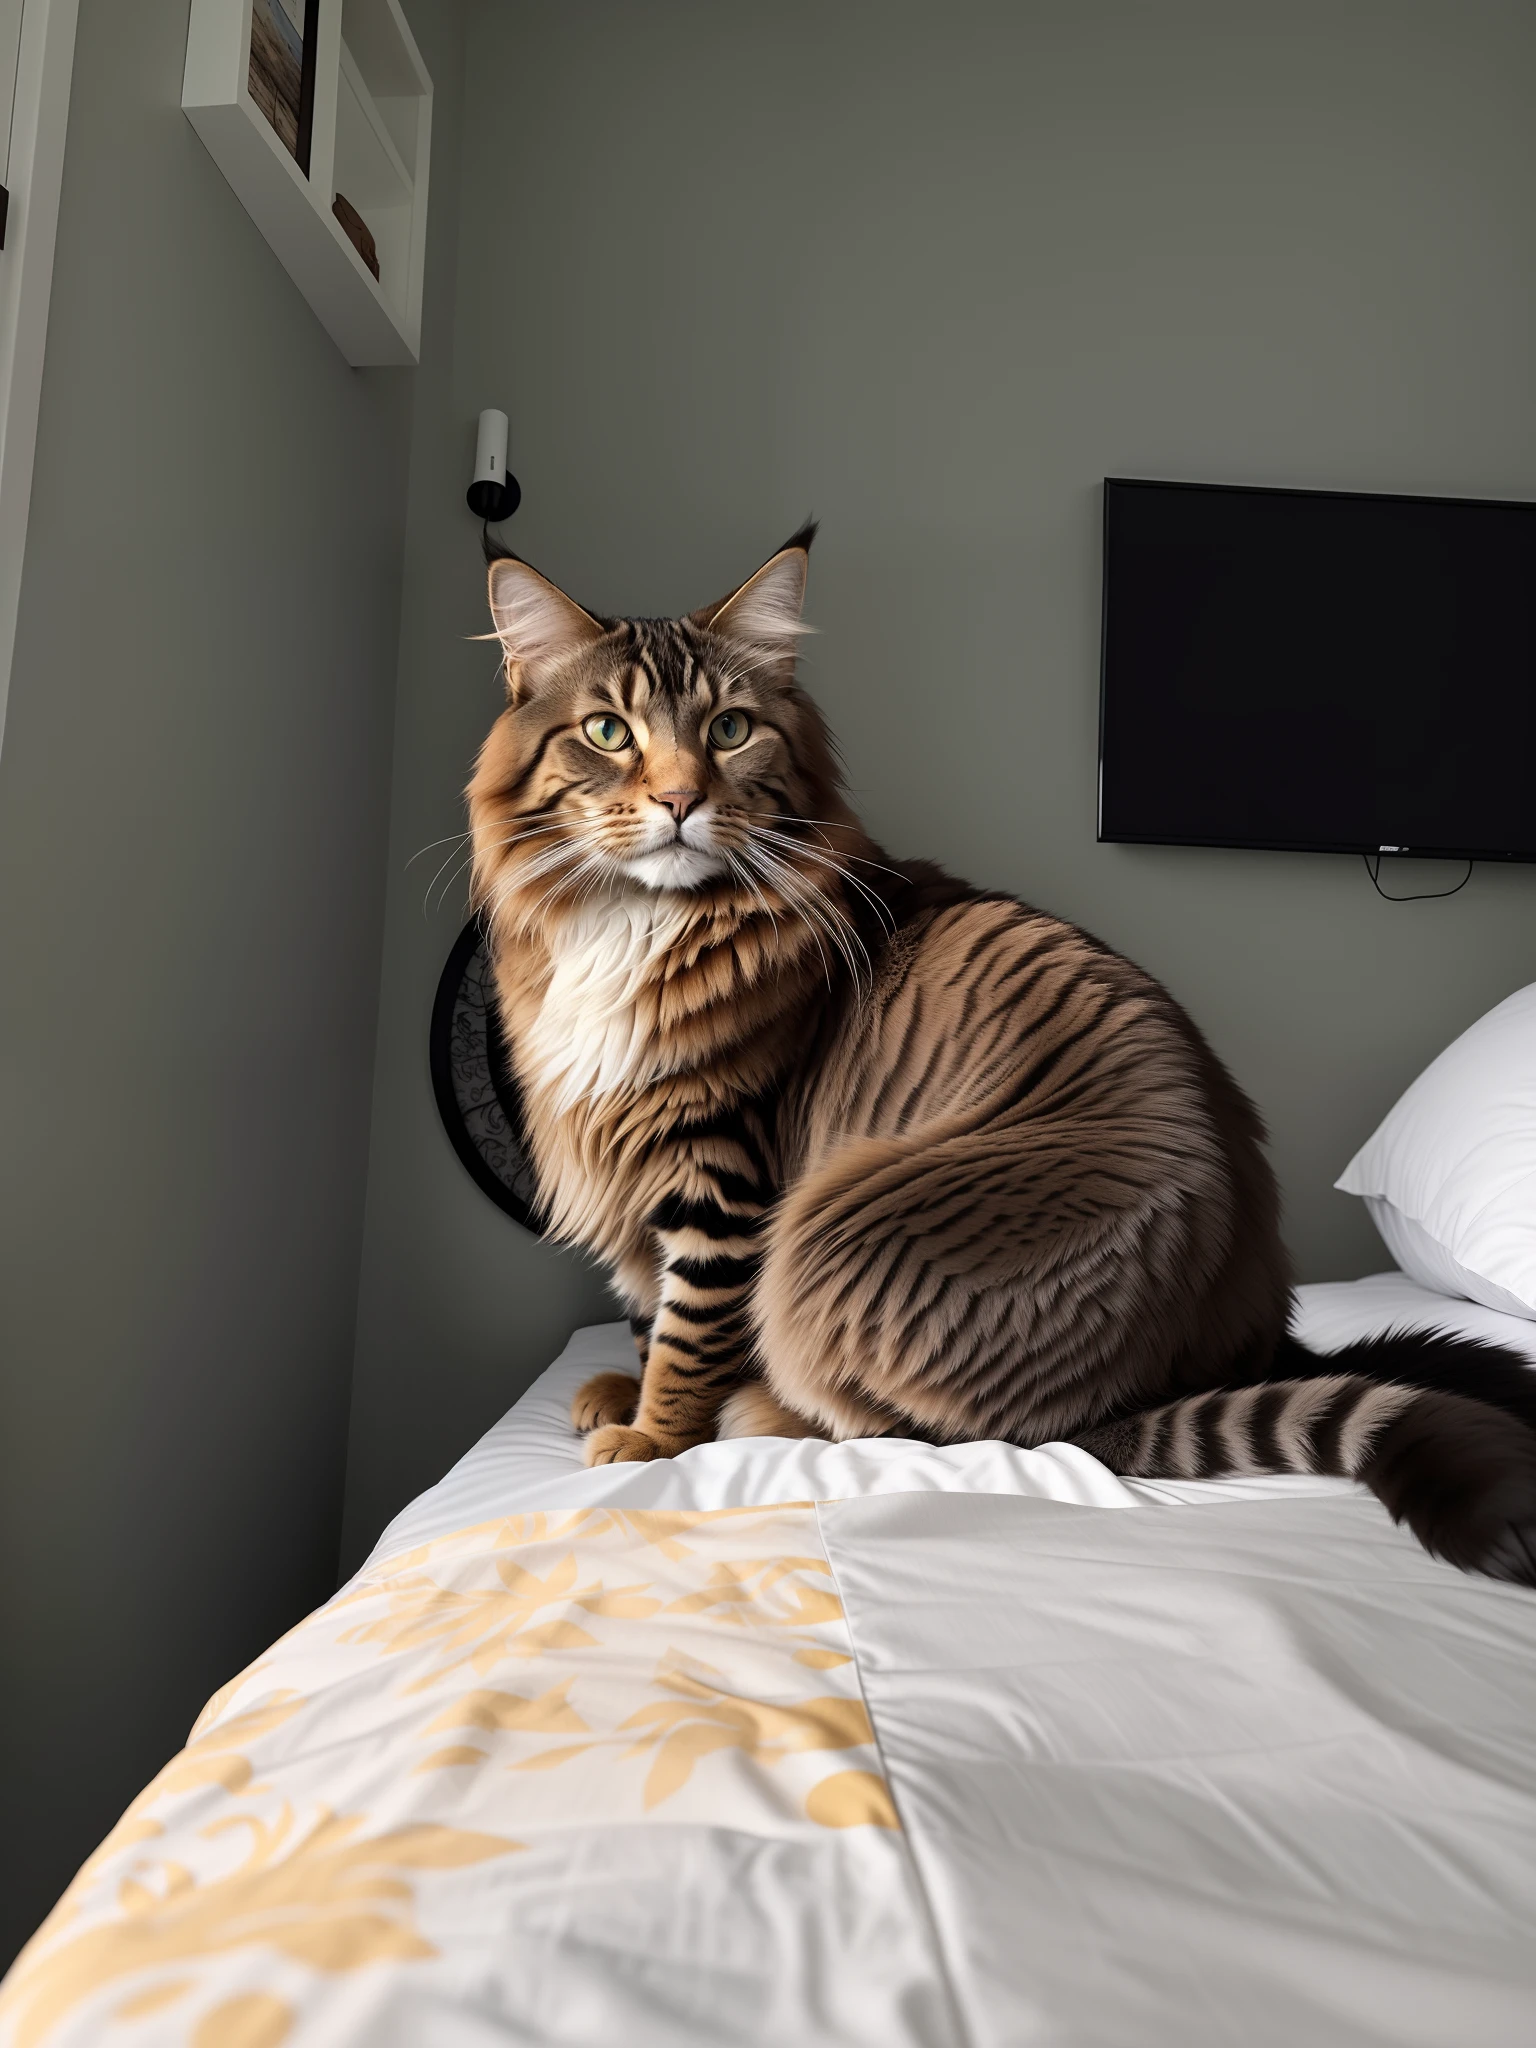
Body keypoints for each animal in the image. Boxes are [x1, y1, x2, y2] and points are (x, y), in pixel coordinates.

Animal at [466, 524, 1536, 1581]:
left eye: (729, 730)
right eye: (609, 732)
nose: (682, 799)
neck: (632, 922)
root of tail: (1231, 1340)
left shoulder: (717, 1169)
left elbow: (690, 1328)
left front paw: (657, 1438)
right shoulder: (626, 1162)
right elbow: (648, 1311)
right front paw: (628, 1389)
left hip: (836, 1231)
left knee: (929, 1433)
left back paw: (762, 1408)